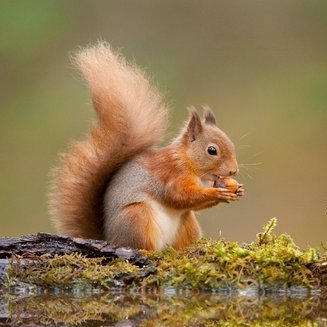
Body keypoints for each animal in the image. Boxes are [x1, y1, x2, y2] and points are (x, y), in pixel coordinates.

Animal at [48, 41, 243, 251]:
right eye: (212, 150)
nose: (233, 171)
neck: (191, 165)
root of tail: (111, 238)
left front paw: (237, 189)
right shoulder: (171, 174)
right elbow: (179, 196)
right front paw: (217, 192)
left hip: (187, 223)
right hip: (137, 217)